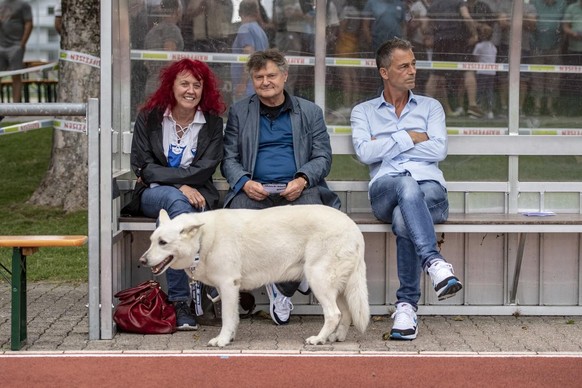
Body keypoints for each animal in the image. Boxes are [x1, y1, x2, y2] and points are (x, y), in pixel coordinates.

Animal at [138, 205, 370, 348]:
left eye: (163, 243)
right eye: (151, 241)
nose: (142, 261)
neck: (203, 240)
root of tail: (354, 228)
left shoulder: (228, 285)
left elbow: (227, 318)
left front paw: (222, 340)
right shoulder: (228, 289)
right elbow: (233, 317)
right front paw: (229, 338)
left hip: (318, 280)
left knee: (334, 314)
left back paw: (318, 339)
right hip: (338, 287)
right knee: (346, 313)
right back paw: (336, 337)